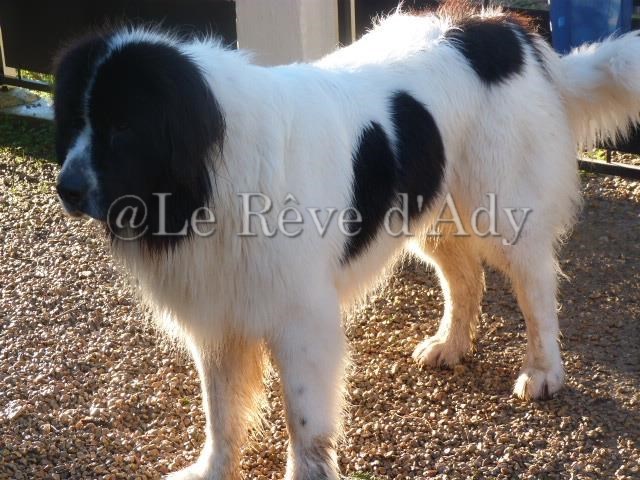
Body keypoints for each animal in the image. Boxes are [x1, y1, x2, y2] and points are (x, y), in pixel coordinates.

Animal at [54, 1, 640, 478]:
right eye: (73, 121)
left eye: (123, 130)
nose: (67, 188)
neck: (211, 175)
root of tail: (507, 27)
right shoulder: (221, 314)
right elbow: (221, 413)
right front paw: (213, 470)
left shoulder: (301, 322)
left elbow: (304, 421)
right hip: (430, 208)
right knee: (465, 278)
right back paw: (450, 345)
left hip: (500, 208)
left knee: (536, 287)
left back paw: (542, 371)